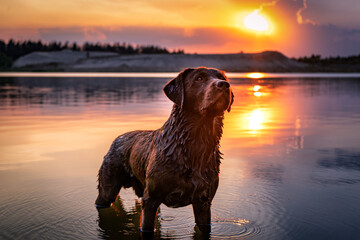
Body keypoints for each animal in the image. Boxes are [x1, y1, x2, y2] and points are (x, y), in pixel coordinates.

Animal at [95, 66, 233, 233]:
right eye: (199, 78)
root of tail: (117, 139)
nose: (224, 85)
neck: (193, 148)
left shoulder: (204, 202)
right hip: (107, 189)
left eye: (222, 77)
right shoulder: (151, 200)